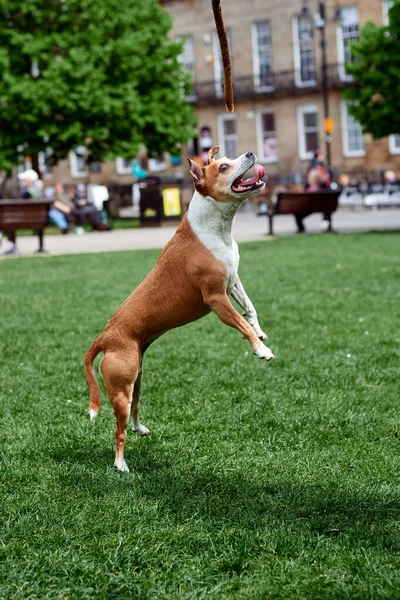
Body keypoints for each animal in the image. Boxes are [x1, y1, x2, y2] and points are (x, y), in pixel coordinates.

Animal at [84, 146, 272, 474]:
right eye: (224, 167)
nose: (250, 153)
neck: (217, 229)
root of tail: (104, 337)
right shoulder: (216, 298)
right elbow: (241, 323)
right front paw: (260, 350)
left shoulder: (233, 282)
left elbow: (250, 310)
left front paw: (260, 334)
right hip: (120, 388)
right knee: (118, 429)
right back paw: (121, 465)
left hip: (135, 378)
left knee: (134, 410)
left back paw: (141, 428)